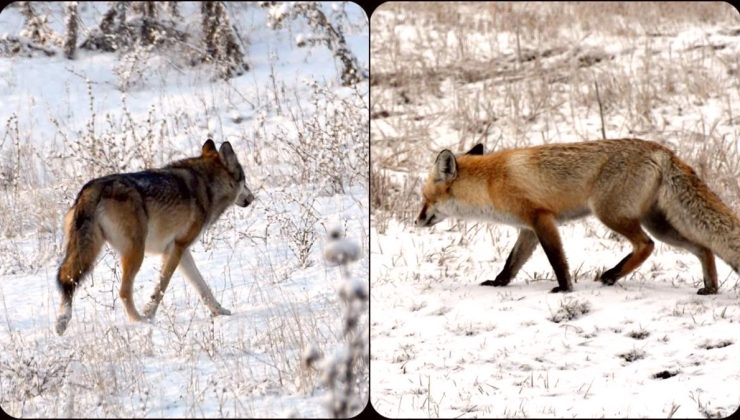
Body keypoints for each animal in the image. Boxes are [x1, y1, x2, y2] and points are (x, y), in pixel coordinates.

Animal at [53, 139, 253, 336]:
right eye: (244, 180)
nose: (252, 197)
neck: (207, 184)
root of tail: (92, 189)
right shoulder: (176, 249)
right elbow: (162, 286)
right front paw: (149, 313)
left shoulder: (181, 250)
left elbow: (202, 286)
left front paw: (220, 311)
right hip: (135, 253)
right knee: (123, 292)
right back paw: (139, 321)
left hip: (88, 251)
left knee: (66, 278)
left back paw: (62, 322)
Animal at [416, 139, 740, 294]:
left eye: (425, 198)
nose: (416, 221)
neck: (490, 182)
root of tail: (662, 150)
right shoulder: (528, 228)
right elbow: (512, 262)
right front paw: (499, 283)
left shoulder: (542, 219)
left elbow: (557, 260)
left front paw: (564, 289)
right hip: (659, 224)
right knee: (704, 248)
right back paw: (711, 288)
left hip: (609, 214)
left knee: (646, 246)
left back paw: (611, 275)